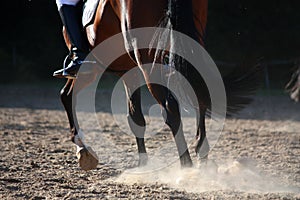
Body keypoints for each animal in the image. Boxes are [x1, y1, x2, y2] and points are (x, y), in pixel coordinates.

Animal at [56, 0, 260, 171]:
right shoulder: (128, 70)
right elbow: (135, 118)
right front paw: (143, 163)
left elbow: (135, 117)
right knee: (198, 95)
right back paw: (202, 155)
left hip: (142, 59)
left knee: (170, 109)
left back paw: (186, 166)